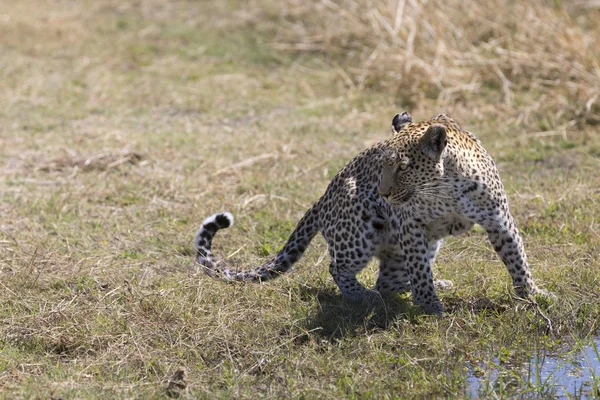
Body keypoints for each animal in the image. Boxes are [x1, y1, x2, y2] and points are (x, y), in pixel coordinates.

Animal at [195, 111, 552, 312]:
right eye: (383, 165)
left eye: (404, 167)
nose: (383, 193)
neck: (445, 187)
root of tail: (321, 199)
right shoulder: (411, 226)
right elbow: (419, 272)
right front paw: (430, 307)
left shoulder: (498, 219)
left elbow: (517, 259)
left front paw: (532, 295)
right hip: (360, 234)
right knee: (339, 268)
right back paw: (363, 296)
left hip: (418, 245)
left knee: (388, 281)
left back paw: (431, 285)